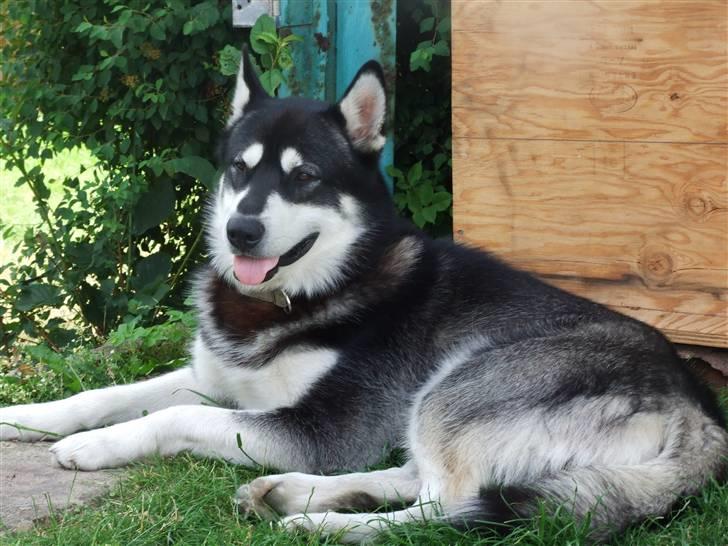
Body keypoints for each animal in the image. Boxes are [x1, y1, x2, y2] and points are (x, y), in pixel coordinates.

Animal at [1, 55, 728, 540]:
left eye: (304, 178)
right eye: (239, 168)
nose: (241, 230)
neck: (305, 292)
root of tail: (702, 416)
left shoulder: (324, 431)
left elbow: (176, 418)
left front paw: (94, 448)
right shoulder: (219, 379)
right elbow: (109, 395)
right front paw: (29, 417)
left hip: (457, 391)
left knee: (446, 509)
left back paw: (317, 524)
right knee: (423, 479)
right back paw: (291, 495)